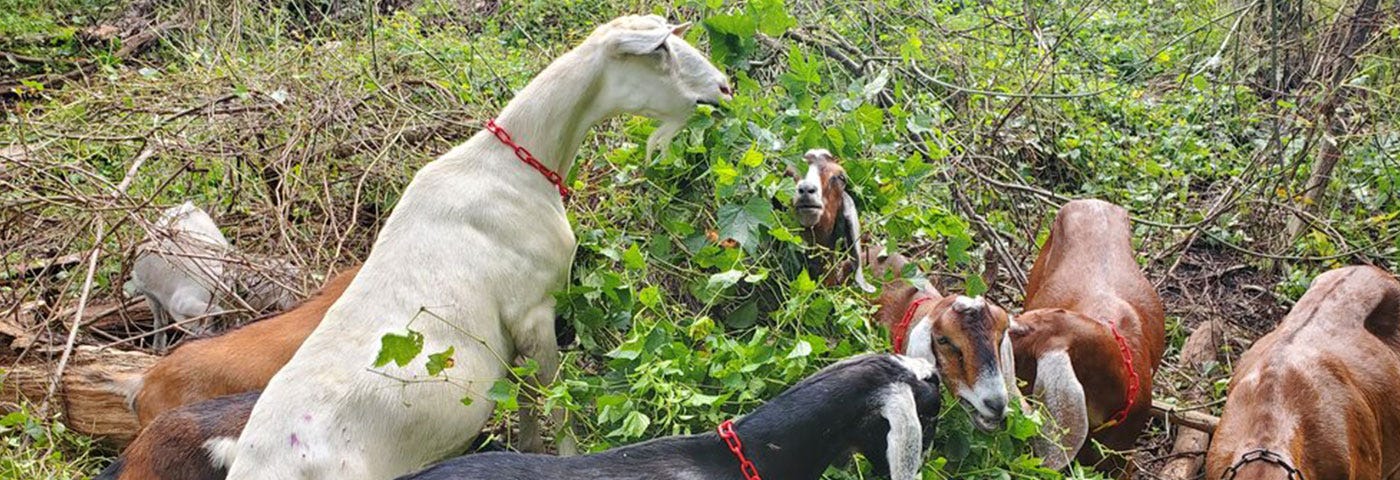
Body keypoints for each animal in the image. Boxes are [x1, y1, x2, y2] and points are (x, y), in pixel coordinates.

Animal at [226, 15, 733, 480]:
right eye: (662, 51)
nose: (725, 88)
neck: (513, 167)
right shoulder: (533, 308)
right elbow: (555, 399)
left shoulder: (513, 335)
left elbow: (525, 397)